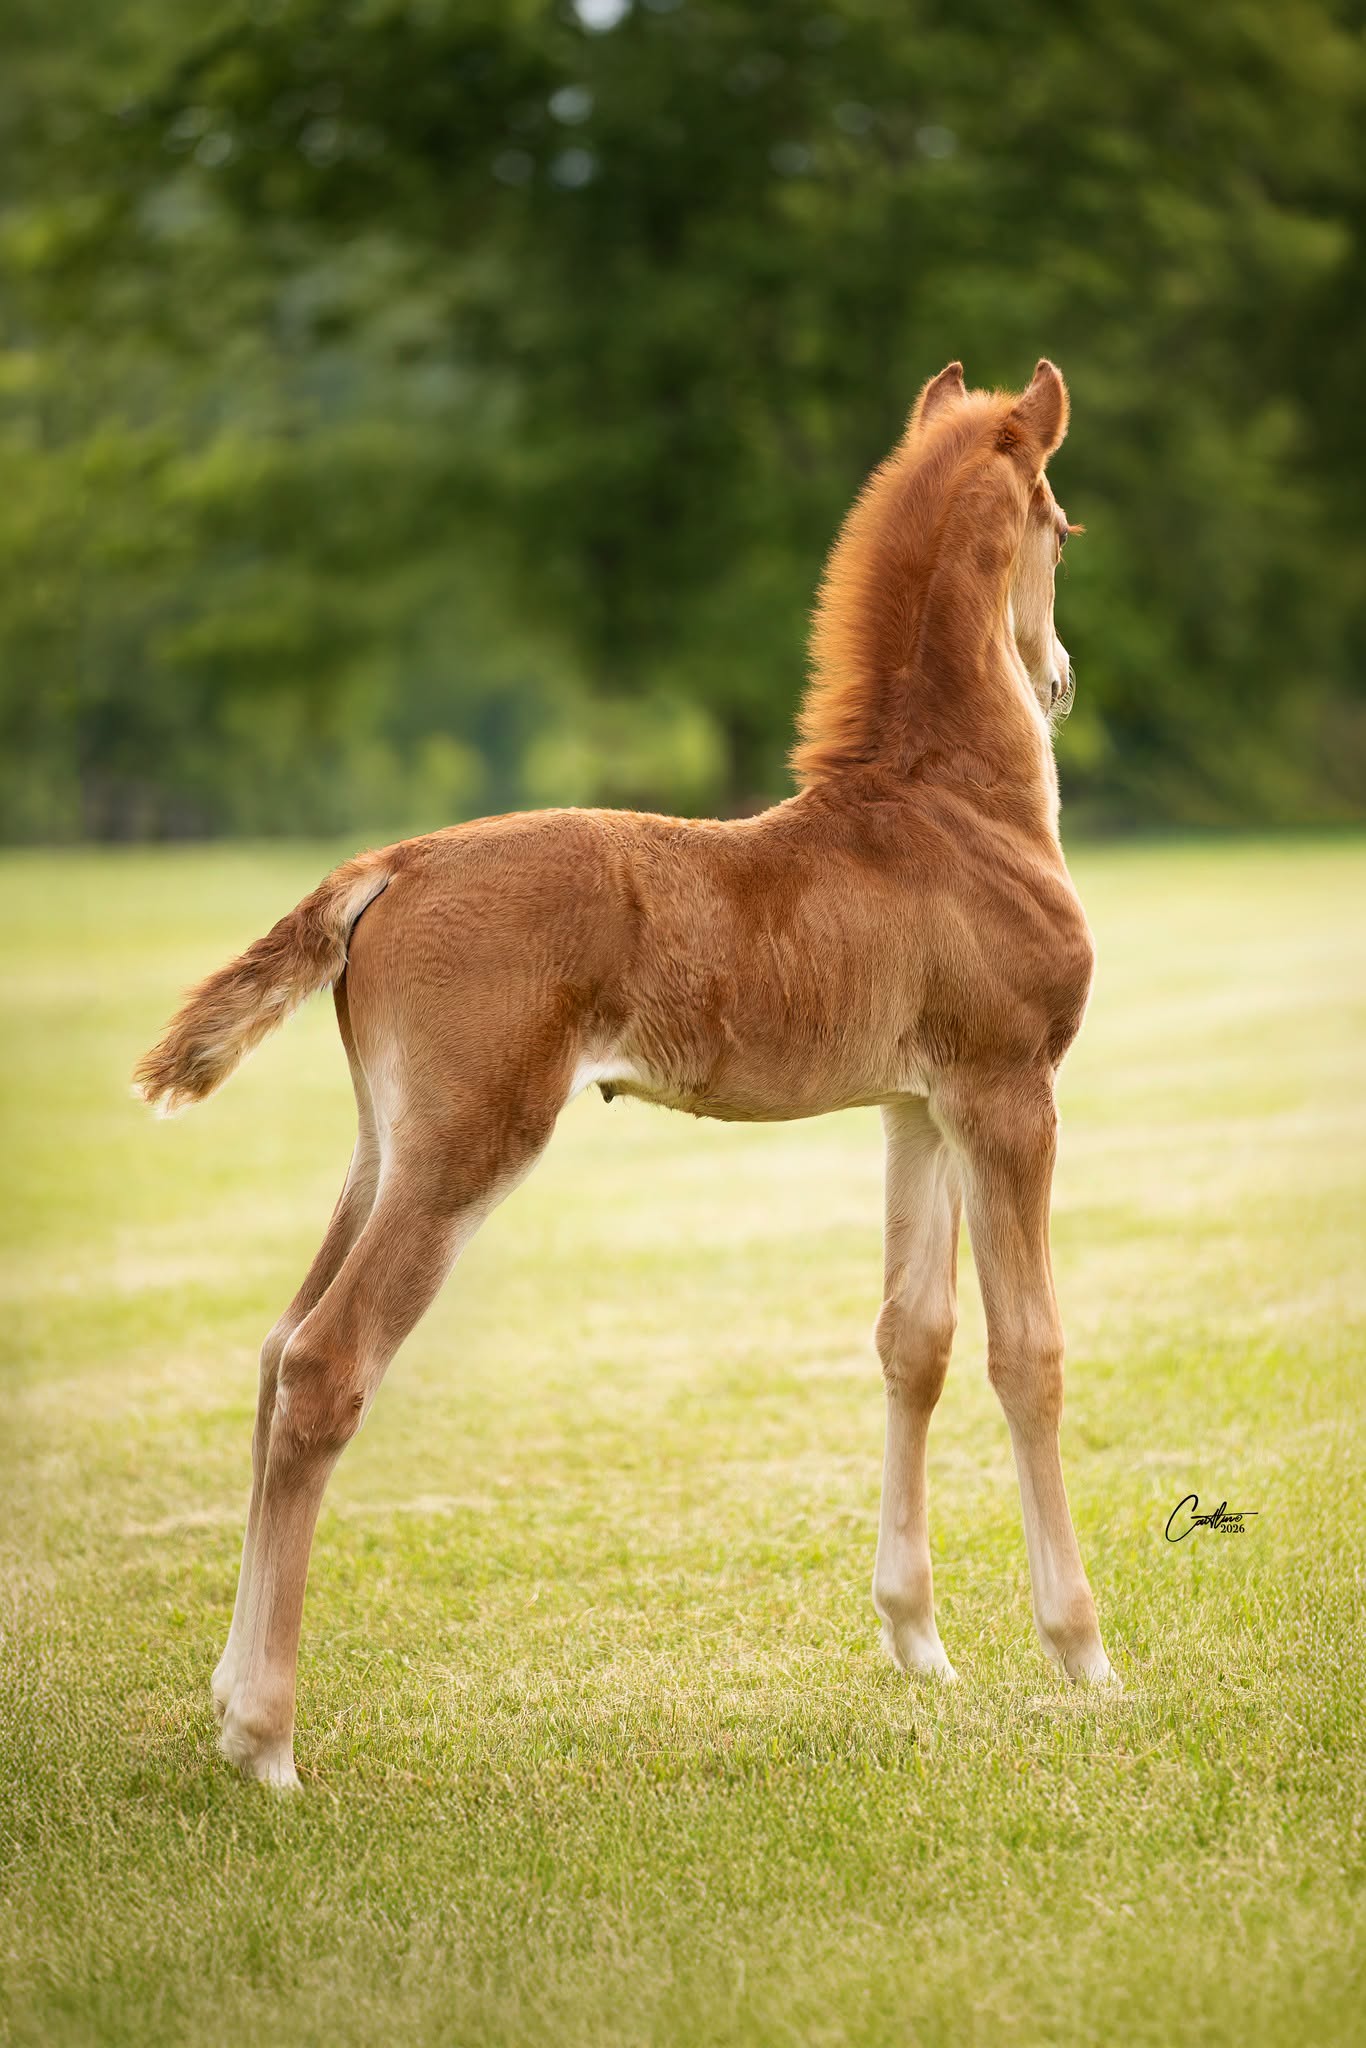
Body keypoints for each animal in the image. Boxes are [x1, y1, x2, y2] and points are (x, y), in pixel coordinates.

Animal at [135, 358, 1116, 1789]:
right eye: (1061, 528)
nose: (1056, 675)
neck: (946, 811)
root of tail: (389, 865)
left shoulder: (914, 1107)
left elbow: (914, 1338)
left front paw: (918, 1643)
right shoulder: (1007, 1092)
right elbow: (1027, 1350)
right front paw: (1083, 1654)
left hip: (385, 1145)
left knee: (273, 1352)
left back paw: (222, 1702)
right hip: (468, 1144)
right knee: (323, 1364)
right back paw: (267, 1737)